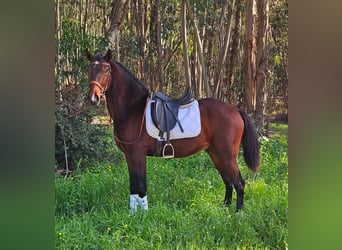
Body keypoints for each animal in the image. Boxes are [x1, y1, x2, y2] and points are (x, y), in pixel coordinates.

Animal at [85, 48, 260, 213]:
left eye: (106, 69)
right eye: (90, 68)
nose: (93, 98)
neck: (132, 108)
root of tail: (236, 110)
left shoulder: (138, 154)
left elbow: (141, 186)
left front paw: (144, 215)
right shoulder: (129, 156)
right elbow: (134, 186)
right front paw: (132, 215)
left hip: (226, 155)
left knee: (239, 182)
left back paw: (237, 214)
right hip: (215, 153)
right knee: (228, 180)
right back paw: (225, 209)